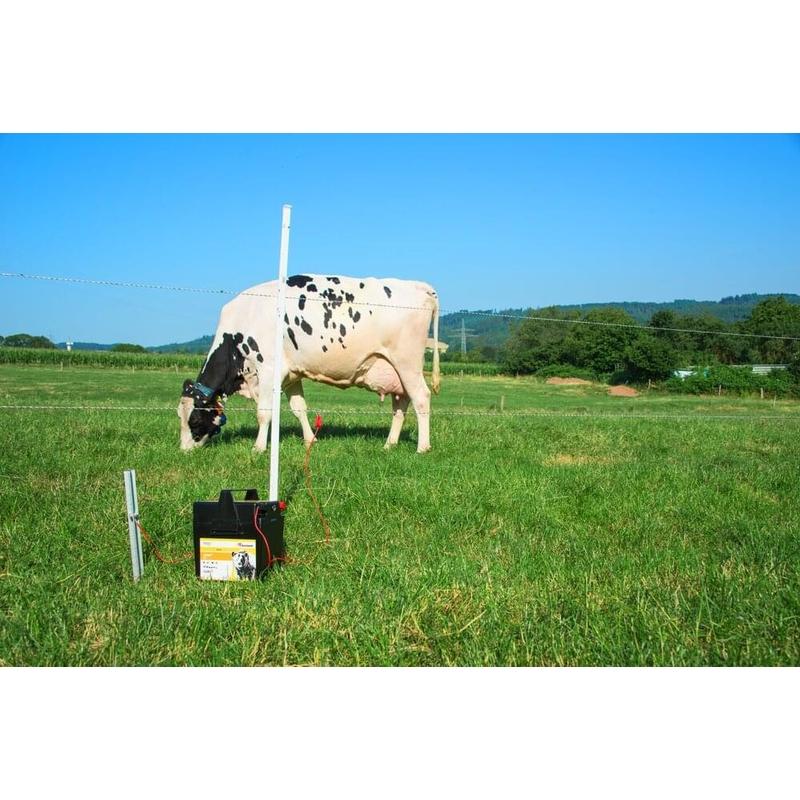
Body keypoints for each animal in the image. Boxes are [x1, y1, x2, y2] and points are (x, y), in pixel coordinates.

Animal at [177, 274, 440, 454]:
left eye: (194, 420)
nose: (184, 449)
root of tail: (420, 286)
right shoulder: (291, 375)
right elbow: (298, 409)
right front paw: (310, 439)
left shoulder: (267, 370)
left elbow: (263, 413)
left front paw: (258, 448)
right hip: (394, 369)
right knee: (401, 403)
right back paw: (390, 443)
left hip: (407, 362)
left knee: (421, 398)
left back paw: (422, 447)